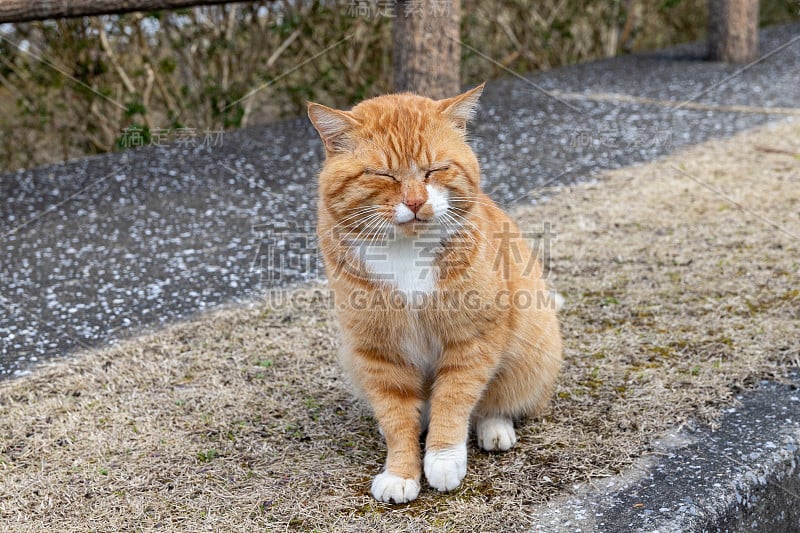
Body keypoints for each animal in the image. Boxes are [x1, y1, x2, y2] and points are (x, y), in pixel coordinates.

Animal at [306, 84, 564, 502]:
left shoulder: (472, 337)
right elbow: (396, 418)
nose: (415, 202)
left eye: (435, 169)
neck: (406, 251)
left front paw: (443, 458)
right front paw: (401, 471)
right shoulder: (378, 352)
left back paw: (495, 428)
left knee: (498, 401)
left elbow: (454, 400)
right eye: (383, 174)